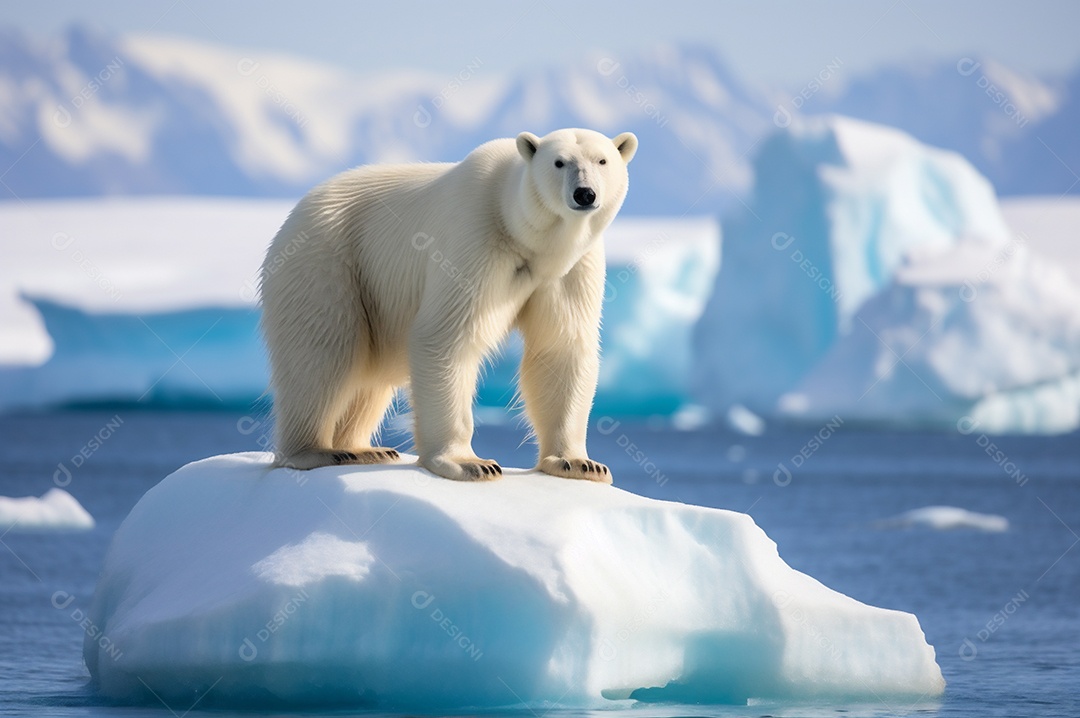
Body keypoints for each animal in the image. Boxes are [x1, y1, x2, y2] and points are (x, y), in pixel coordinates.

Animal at [259, 128, 638, 482]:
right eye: (559, 162)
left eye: (602, 160)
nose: (584, 194)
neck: (523, 234)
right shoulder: (474, 241)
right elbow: (446, 337)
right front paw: (471, 463)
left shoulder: (570, 268)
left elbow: (561, 347)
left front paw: (579, 463)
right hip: (329, 262)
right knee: (321, 354)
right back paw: (316, 450)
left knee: (368, 378)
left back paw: (365, 450)